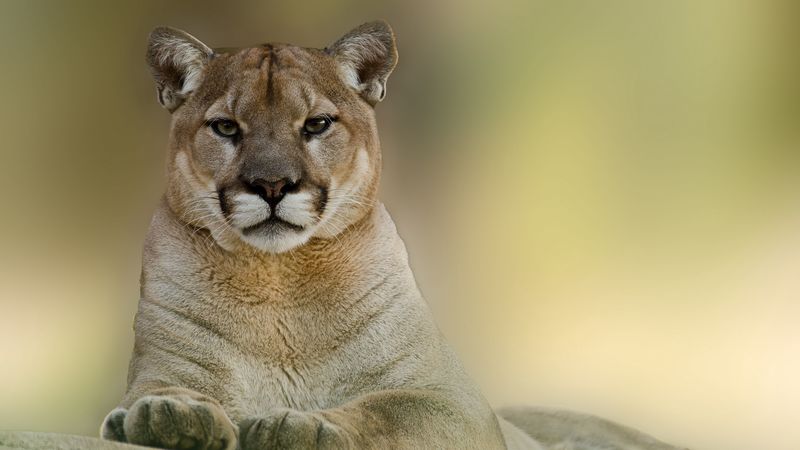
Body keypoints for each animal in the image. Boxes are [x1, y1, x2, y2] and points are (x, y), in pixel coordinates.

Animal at [100, 21, 685, 450]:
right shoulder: (160, 369)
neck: (279, 282)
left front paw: (305, 424)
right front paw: (173, 414)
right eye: (225, 127)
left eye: (316, 124)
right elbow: (157, 393)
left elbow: (383, 410)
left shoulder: (450, 398)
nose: (272, 185)